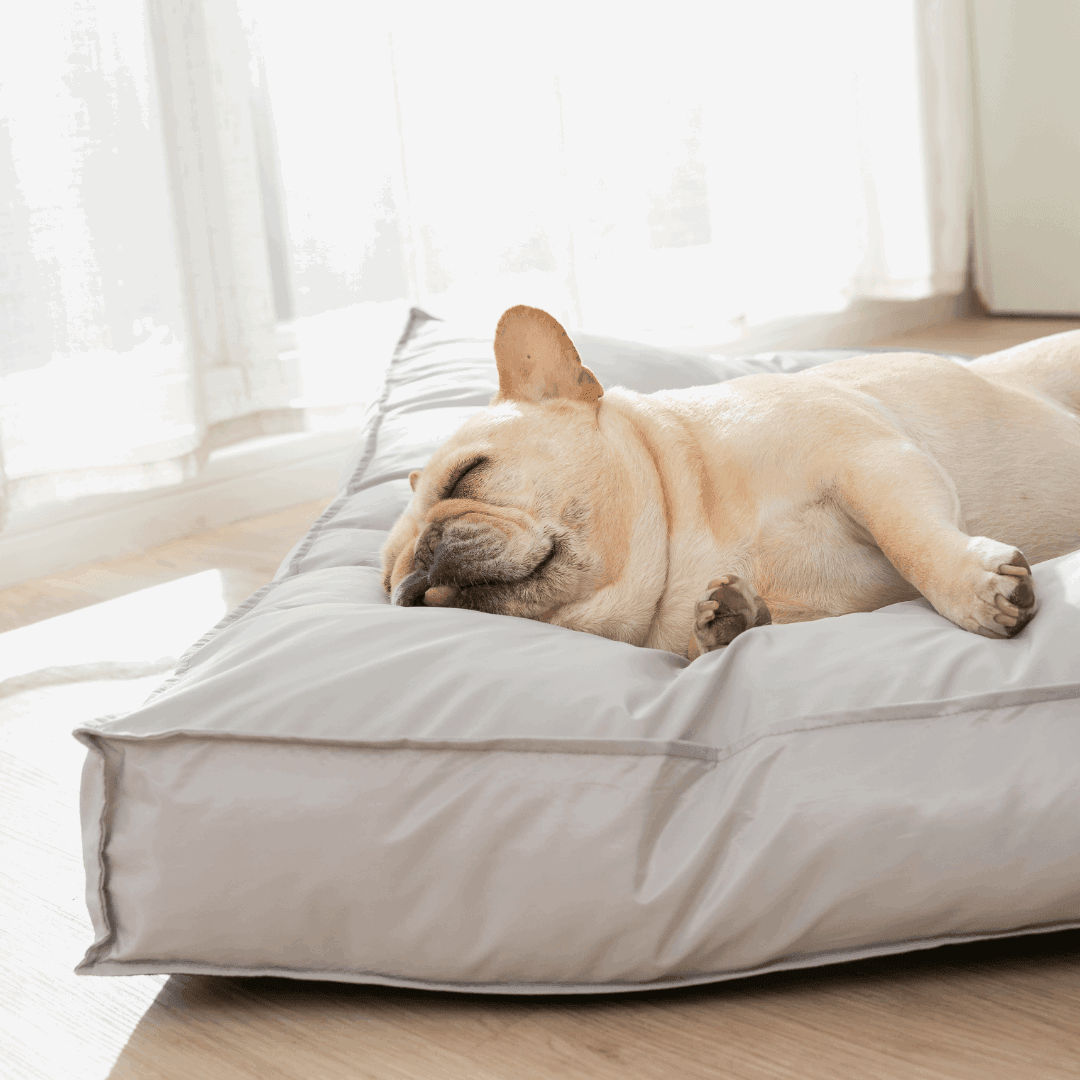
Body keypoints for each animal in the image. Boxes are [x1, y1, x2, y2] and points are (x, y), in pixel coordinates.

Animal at [380, 304, 1080, 656]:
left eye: (469, 474)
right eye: (389, 585)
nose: (413, 575)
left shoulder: (873, 460)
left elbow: (908, 536)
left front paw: (973, 590)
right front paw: (729, 620)